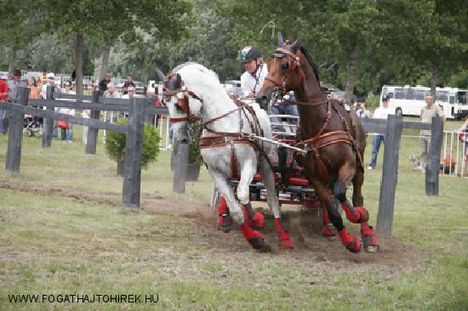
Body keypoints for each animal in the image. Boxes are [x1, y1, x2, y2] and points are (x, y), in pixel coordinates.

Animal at [159, 62, 294, 252]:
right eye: (164, 102)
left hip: (265, 166)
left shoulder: (249, 164)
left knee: (272, 199)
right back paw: (229, 217)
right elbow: (236, 209)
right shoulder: (217, 172)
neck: (224, 127)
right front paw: (255, 239)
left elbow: (244, 195)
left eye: (178, 105)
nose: (179, 138)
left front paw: (256, 222)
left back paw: (283, 236)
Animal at [258, 39, 378, 254]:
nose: (262, 96)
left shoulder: (348, 165)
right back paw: (330, 227)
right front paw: (349, 241)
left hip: (359, 166)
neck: (320, 123)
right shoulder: (315, 177)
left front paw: (358, 216)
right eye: (269, 62)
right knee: (329, 201)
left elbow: (341, 193)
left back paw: (367, 235)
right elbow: (332, 208)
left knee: (356, 196)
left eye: (285, 65)